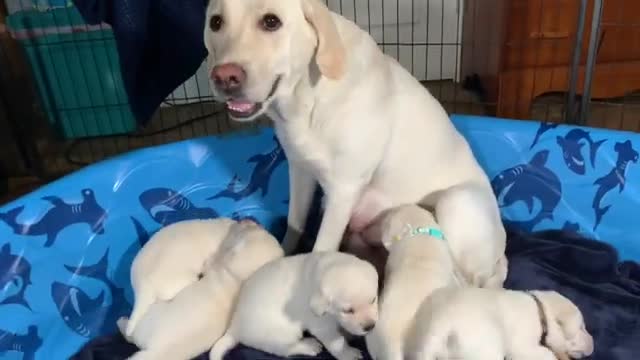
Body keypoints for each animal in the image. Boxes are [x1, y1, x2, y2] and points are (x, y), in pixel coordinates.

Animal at [202, 0, 508, 288]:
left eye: (271, 21)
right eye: (215, 23)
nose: (224, 77)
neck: (307, 102)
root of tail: (501, 254)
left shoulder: (343, 191)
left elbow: (320, 248)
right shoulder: (300, 171)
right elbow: (294, 224)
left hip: (455, 202)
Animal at [209, 252, 380, 360]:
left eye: (373, 300)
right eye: (347, 310)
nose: (370, 327)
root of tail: (234, 327)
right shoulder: (321, 325)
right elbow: (336, 342)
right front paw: (348, 353)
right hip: (280, 334)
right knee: (286, 350)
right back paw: (309, 346)